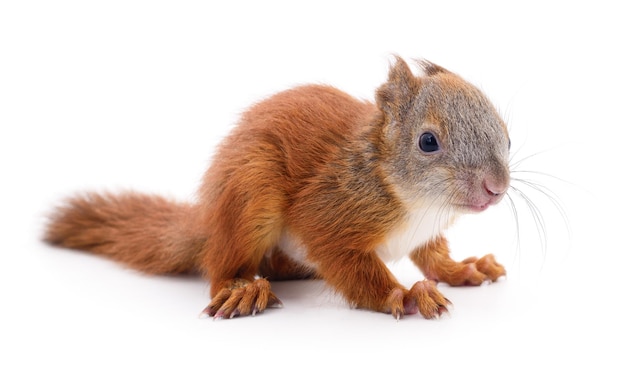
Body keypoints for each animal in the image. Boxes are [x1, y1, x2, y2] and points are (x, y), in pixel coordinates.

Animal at [46, 57, 510, 320]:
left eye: (506, 134)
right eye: (428, 142)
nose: (496, 187)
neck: (418, 204)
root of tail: (209, 221)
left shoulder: (426, 233)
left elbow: (433, 257)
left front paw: (464, 269)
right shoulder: (330, 212)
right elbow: (352, 266)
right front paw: (405, 295)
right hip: (252, 193)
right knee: (219, 267)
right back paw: (242, 289)